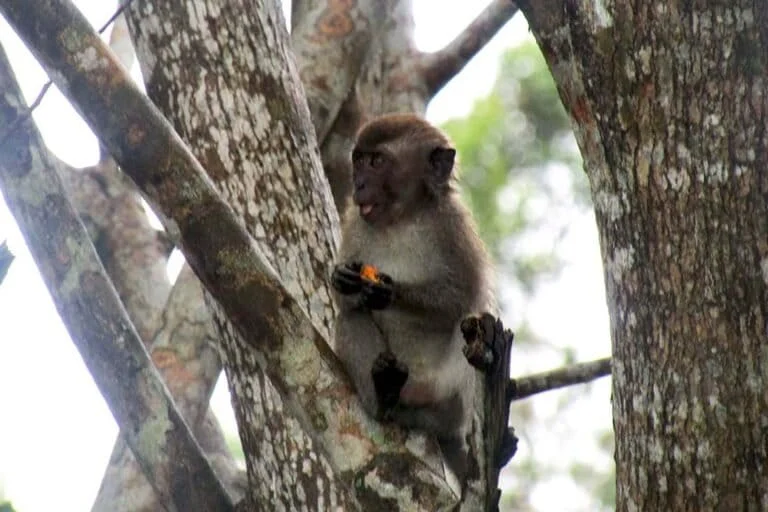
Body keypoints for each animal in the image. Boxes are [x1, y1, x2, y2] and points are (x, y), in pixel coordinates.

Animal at [330, 113, 495, 483]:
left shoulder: (453, 225)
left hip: (446, 391)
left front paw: (388, 291)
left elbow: (463, 298)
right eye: (358, 160)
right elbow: (346, 304)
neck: (402, 219)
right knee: (351, 318)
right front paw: (342, 280)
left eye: (377, 162)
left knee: (470, 324)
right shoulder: (355, 222)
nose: (359, 184)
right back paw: (383, 395)